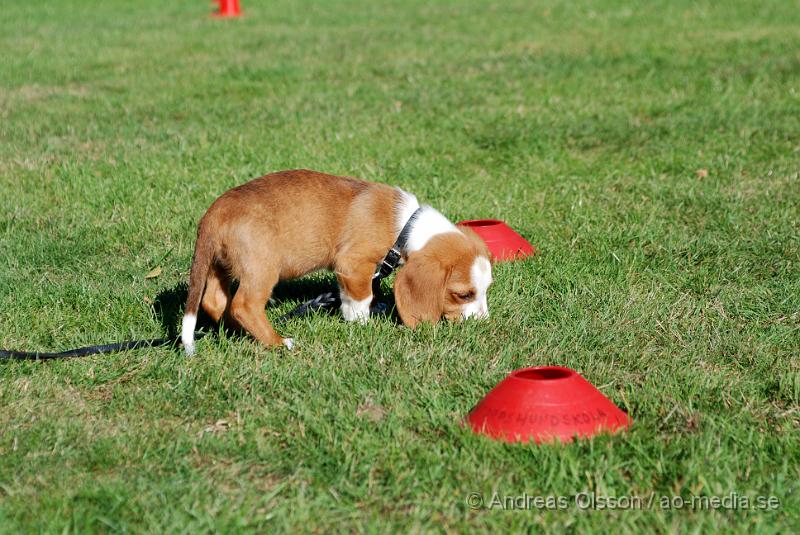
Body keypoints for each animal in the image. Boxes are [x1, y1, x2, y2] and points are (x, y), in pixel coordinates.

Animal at [182, 170, 494, 354]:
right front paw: (363, 322)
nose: (483, 323)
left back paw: (239, 333)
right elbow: (360, 297)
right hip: (262, 269)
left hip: (220, 265)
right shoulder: (353, 264)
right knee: (243, 306)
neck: (406, 225)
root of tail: (214, 213)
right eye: (463, 294)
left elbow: (352, 295)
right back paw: (277, 341)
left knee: (214, 302)